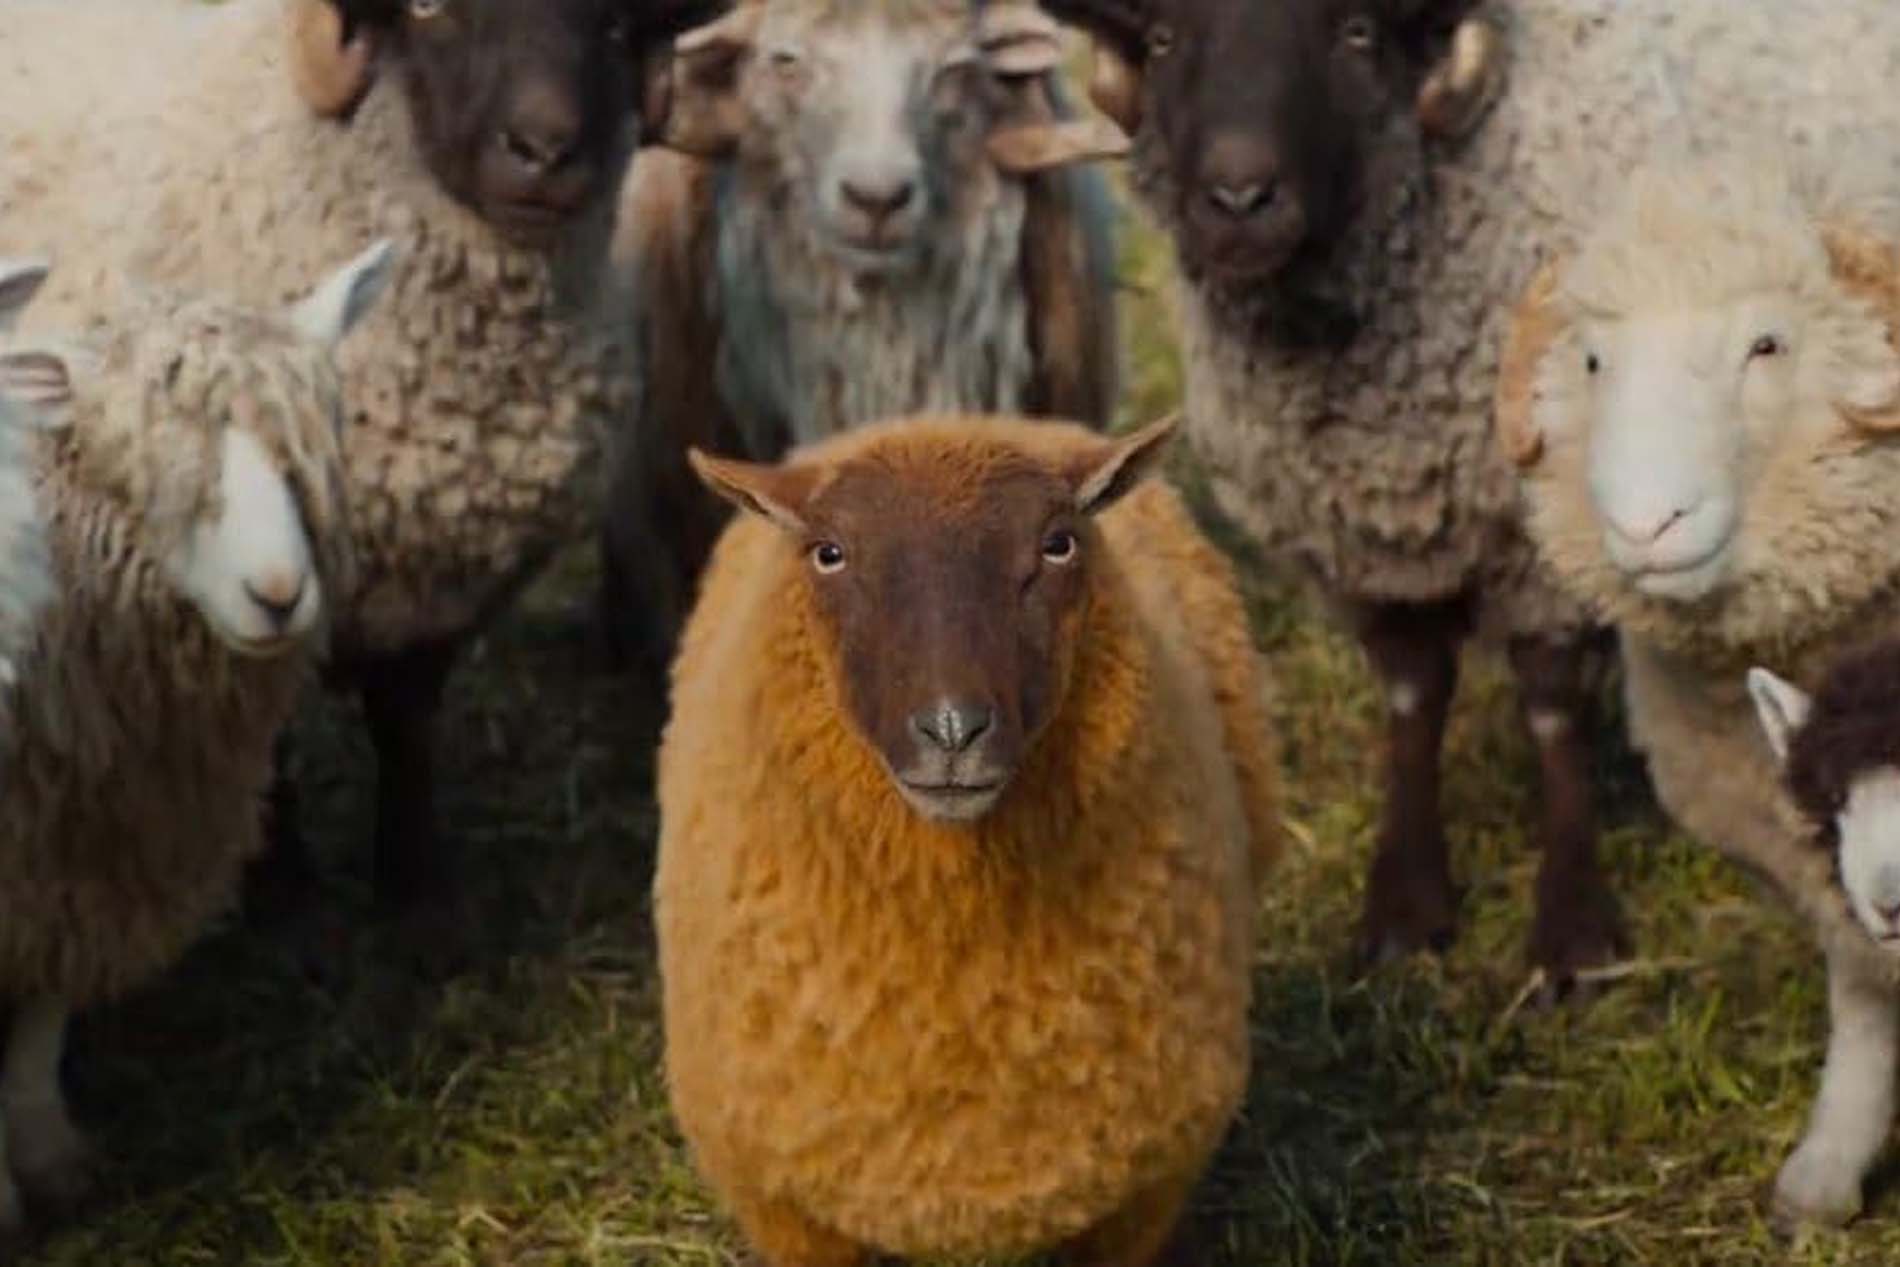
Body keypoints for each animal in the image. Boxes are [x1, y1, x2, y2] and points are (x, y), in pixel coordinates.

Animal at [0, 0, 721, 934]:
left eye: (615, 25)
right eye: (429, 14)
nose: (544, 150)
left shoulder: (444, 582)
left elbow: (405, 721)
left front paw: (416, 887)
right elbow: (269, 743)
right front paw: (279, 885)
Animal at [0, 241, 392, 1236]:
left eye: (308, 454)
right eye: (144, 462)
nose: (278, 593)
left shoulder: (85, 855)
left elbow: (43, 1015)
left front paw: (47, 1153)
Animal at [1035, 0, 1900, 989]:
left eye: (1357, 36)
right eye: (1165, 40)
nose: (1240, 198)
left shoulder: (1548, 535)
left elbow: (1552, 707)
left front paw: (1573, 931)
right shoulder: (1365, 548)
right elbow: (1412, 696)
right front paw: (1406, 907)